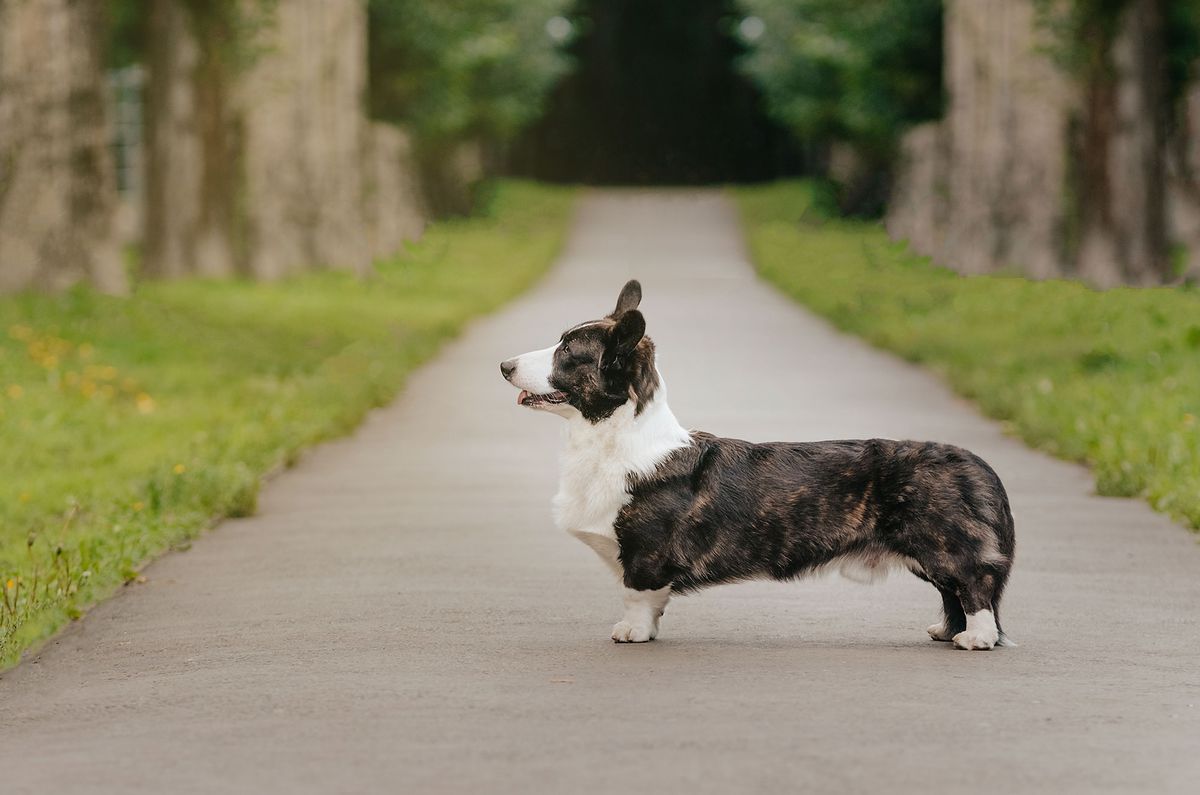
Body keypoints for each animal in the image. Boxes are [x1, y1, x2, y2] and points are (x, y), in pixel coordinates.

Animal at [501, 283, 1017, 653]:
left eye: (568, 352)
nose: (504, 365)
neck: (612, 440)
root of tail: (976, 465)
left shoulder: (644, 554)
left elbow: (636, 596)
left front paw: (632, 632)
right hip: (928, 555)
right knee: (953, 593)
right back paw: (947, 632)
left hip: (943, 546)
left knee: (974, 586)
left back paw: (976, 639)